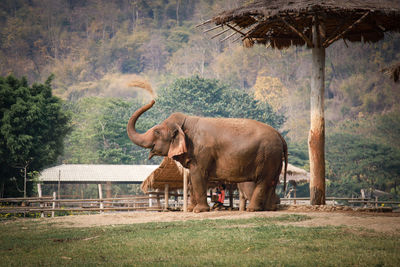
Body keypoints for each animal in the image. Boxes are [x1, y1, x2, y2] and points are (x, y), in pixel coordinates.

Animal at [128, 100, 288, 214]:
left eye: (156, 132)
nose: (153, 100)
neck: (185, 122)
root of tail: (280, 136)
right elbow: (192, 180)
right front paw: (191, 209)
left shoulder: (201, 152)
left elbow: (197, 176)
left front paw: (199, 211)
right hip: (275, 158)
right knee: (272, 181)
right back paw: (270, 208)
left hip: (268, 155)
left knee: (263, 180)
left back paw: (253, 209)